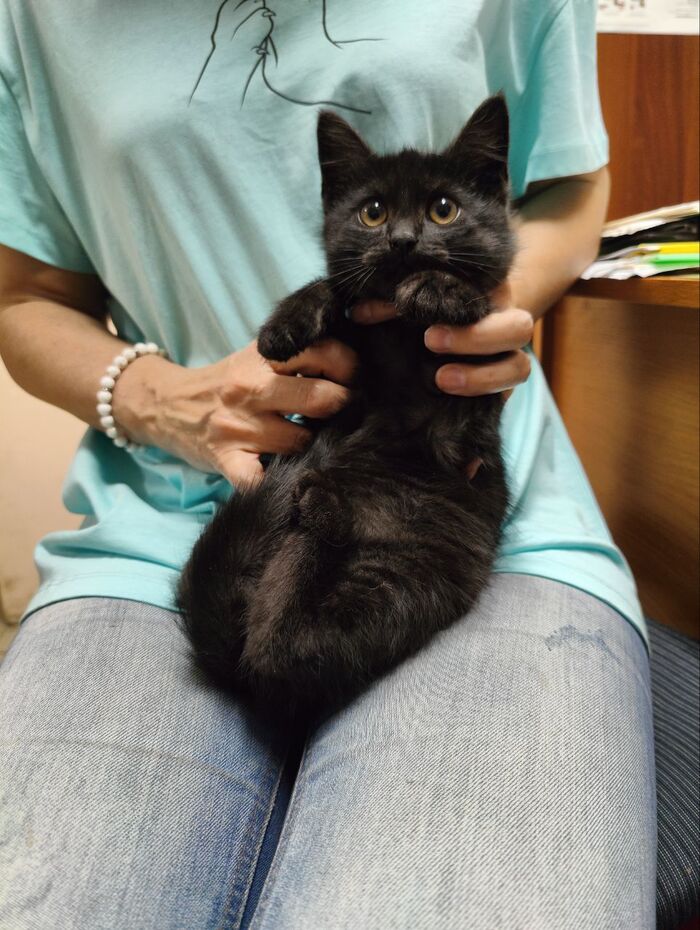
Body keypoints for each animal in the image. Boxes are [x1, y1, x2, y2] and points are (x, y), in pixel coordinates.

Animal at [177, 94, 515, 719]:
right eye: (373, 214)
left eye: (444, 210)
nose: (404, 241)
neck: (403, 336)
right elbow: (338, 290)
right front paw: (289, 320)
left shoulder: (477, 392)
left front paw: (441, 290)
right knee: (275, 645)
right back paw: (320, 498)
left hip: (400, 579)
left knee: (285, 649)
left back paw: (323, 505)